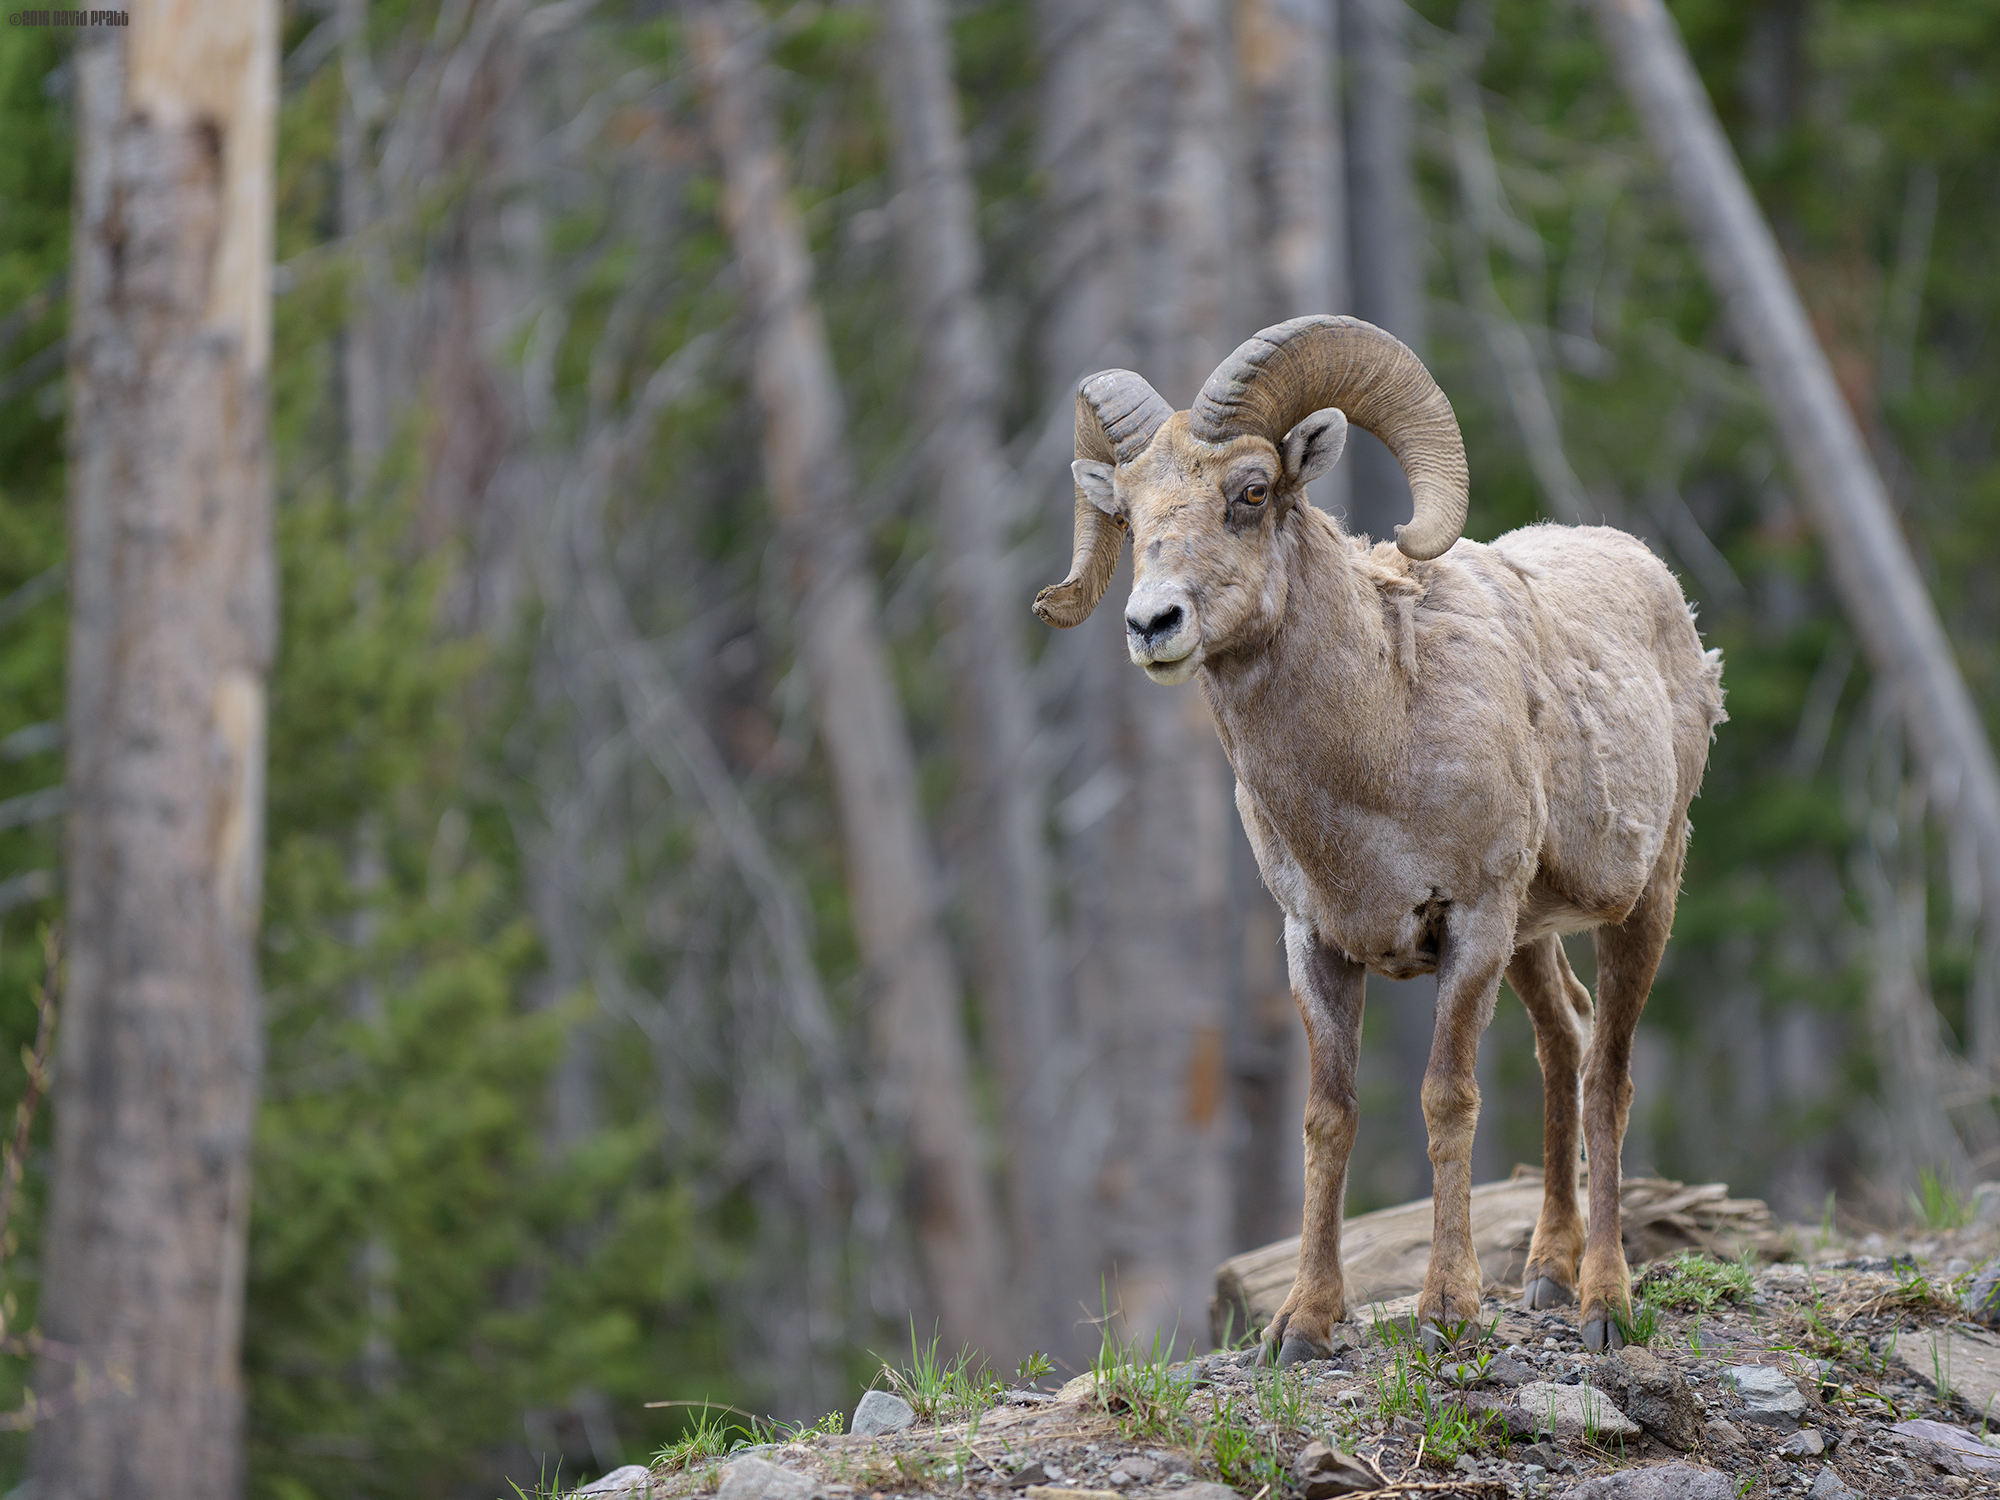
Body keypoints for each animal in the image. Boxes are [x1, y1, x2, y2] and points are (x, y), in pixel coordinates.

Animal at [1033, 315, 1725, 1360]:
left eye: (1252, 492)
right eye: (1130, 509)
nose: (1153, 624)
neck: (1378, 749)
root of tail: (1663, 591)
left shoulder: (1470, 927)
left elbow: (1448, 1098)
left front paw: (1446, 1311)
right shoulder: (1317, 943)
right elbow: (1329, 1118)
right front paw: (1302, 1325)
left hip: (1644, 898)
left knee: (1608, 1074)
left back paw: (1604, 1304)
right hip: (1535, 939)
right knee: (1564, 1042)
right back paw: (1548, 1276)